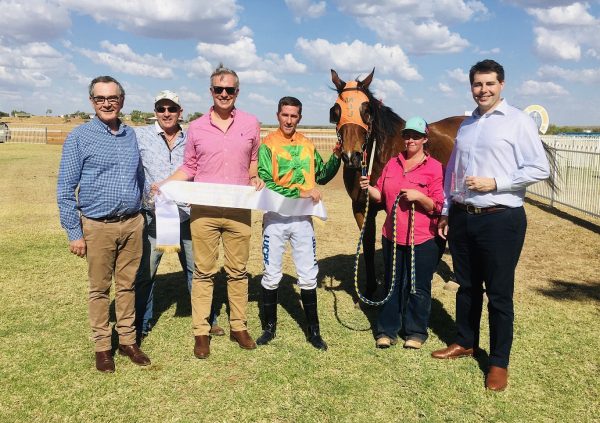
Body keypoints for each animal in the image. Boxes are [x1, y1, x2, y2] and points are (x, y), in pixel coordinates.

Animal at [328, 69, 464, 300]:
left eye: (367, 110)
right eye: (336, 111)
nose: (351, 156)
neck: (380, 154)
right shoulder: (360, 207)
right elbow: (368, 244)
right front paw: (369, 289)